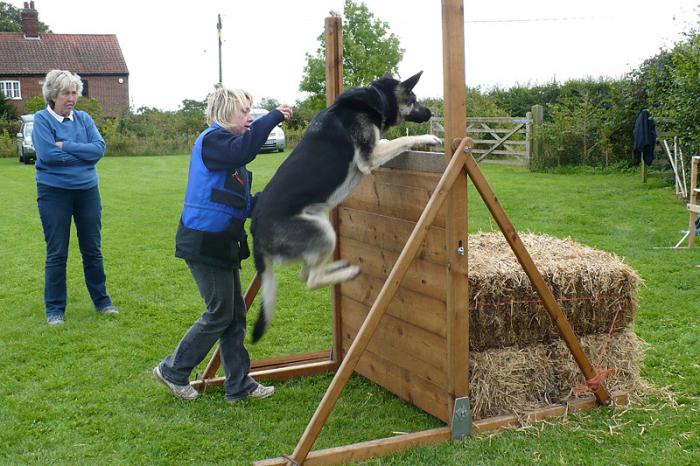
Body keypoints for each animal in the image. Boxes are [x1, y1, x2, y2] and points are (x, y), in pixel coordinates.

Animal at [249, 73, 440, 342]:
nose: (432, 113)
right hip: (324, 231)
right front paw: (428, 138)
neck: (377, 98)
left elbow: (390, 139)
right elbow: (404, 138)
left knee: (305, 273)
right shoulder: (370, 158)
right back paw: (347, 273)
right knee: (310, 279)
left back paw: (339, 267)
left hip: (321, 229)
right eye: (414, 99)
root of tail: (255, 230)